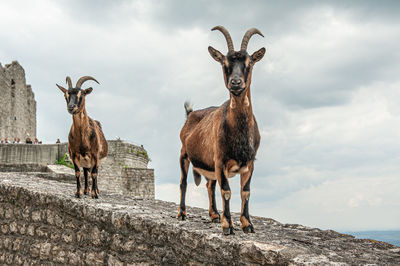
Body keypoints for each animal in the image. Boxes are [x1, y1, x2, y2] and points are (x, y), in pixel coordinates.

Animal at [178, 26, 266, 235]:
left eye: (249, 63)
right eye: (224, 63)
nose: (235, 83)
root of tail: (190, 114)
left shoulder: (250, 162)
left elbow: (246, 192)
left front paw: (247, 224)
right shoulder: (221, 160)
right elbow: (226, 191)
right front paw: (228, 226)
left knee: (209, 184)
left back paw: (214, 215)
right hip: (184, 154)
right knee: (183, 183)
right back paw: (182, 213)